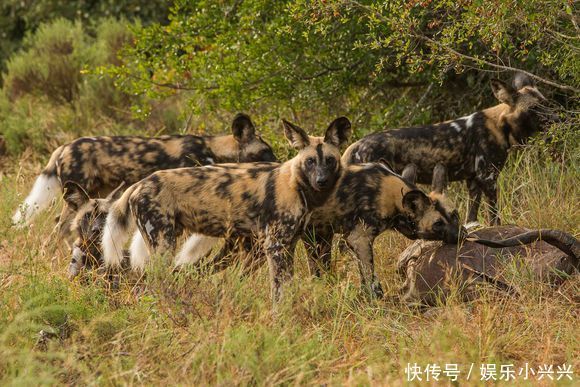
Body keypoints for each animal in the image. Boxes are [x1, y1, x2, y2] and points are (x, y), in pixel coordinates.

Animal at [102, 116, 352, 304]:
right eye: (310, 161)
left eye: (330, 160)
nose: (321, 181)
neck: (296, 185)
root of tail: (140, 183)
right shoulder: (274, 247)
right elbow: (278, 292)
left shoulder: (288, 245)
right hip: (164, 245)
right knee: (154, 283)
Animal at [342, 73, 556, 224]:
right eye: (534, 108)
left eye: (546, 103)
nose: (557, 118)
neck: (501, 125)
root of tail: (353, 147)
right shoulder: (488, 179)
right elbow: (494, 217)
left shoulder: (474, 182)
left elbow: (472, 218)